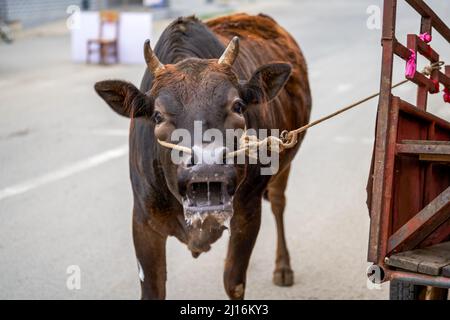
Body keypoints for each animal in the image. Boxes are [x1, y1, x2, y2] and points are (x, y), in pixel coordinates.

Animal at [96, 13, 310, 300]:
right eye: (158, 115)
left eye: (238, 106)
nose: (207, 167)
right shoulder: (143, 221)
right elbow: (153, 289)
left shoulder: (248, 211)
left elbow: (234, 283)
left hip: (282, 165)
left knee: (278, 203)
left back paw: (283, 267)